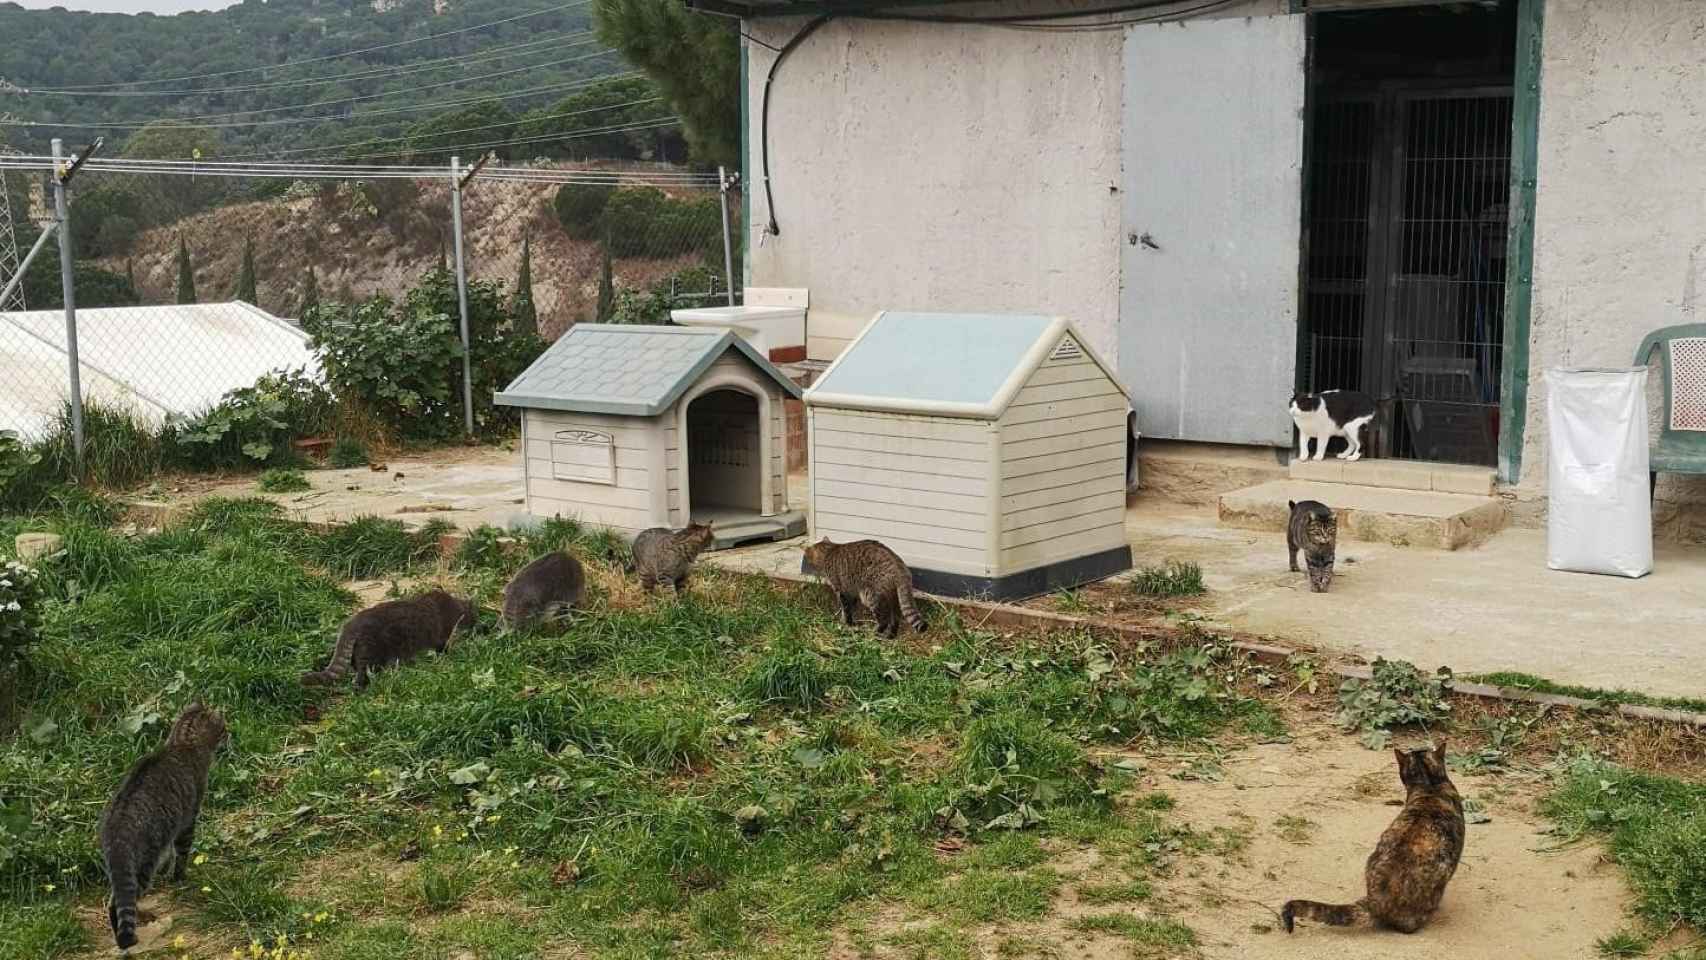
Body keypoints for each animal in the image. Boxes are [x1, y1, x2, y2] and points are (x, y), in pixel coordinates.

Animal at [301, 586, 474, 692]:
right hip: (371, 654)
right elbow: (444, 649)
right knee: (361, 676)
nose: (477, 626)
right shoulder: (443, 638)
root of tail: (351, 624)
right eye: (476, 616)